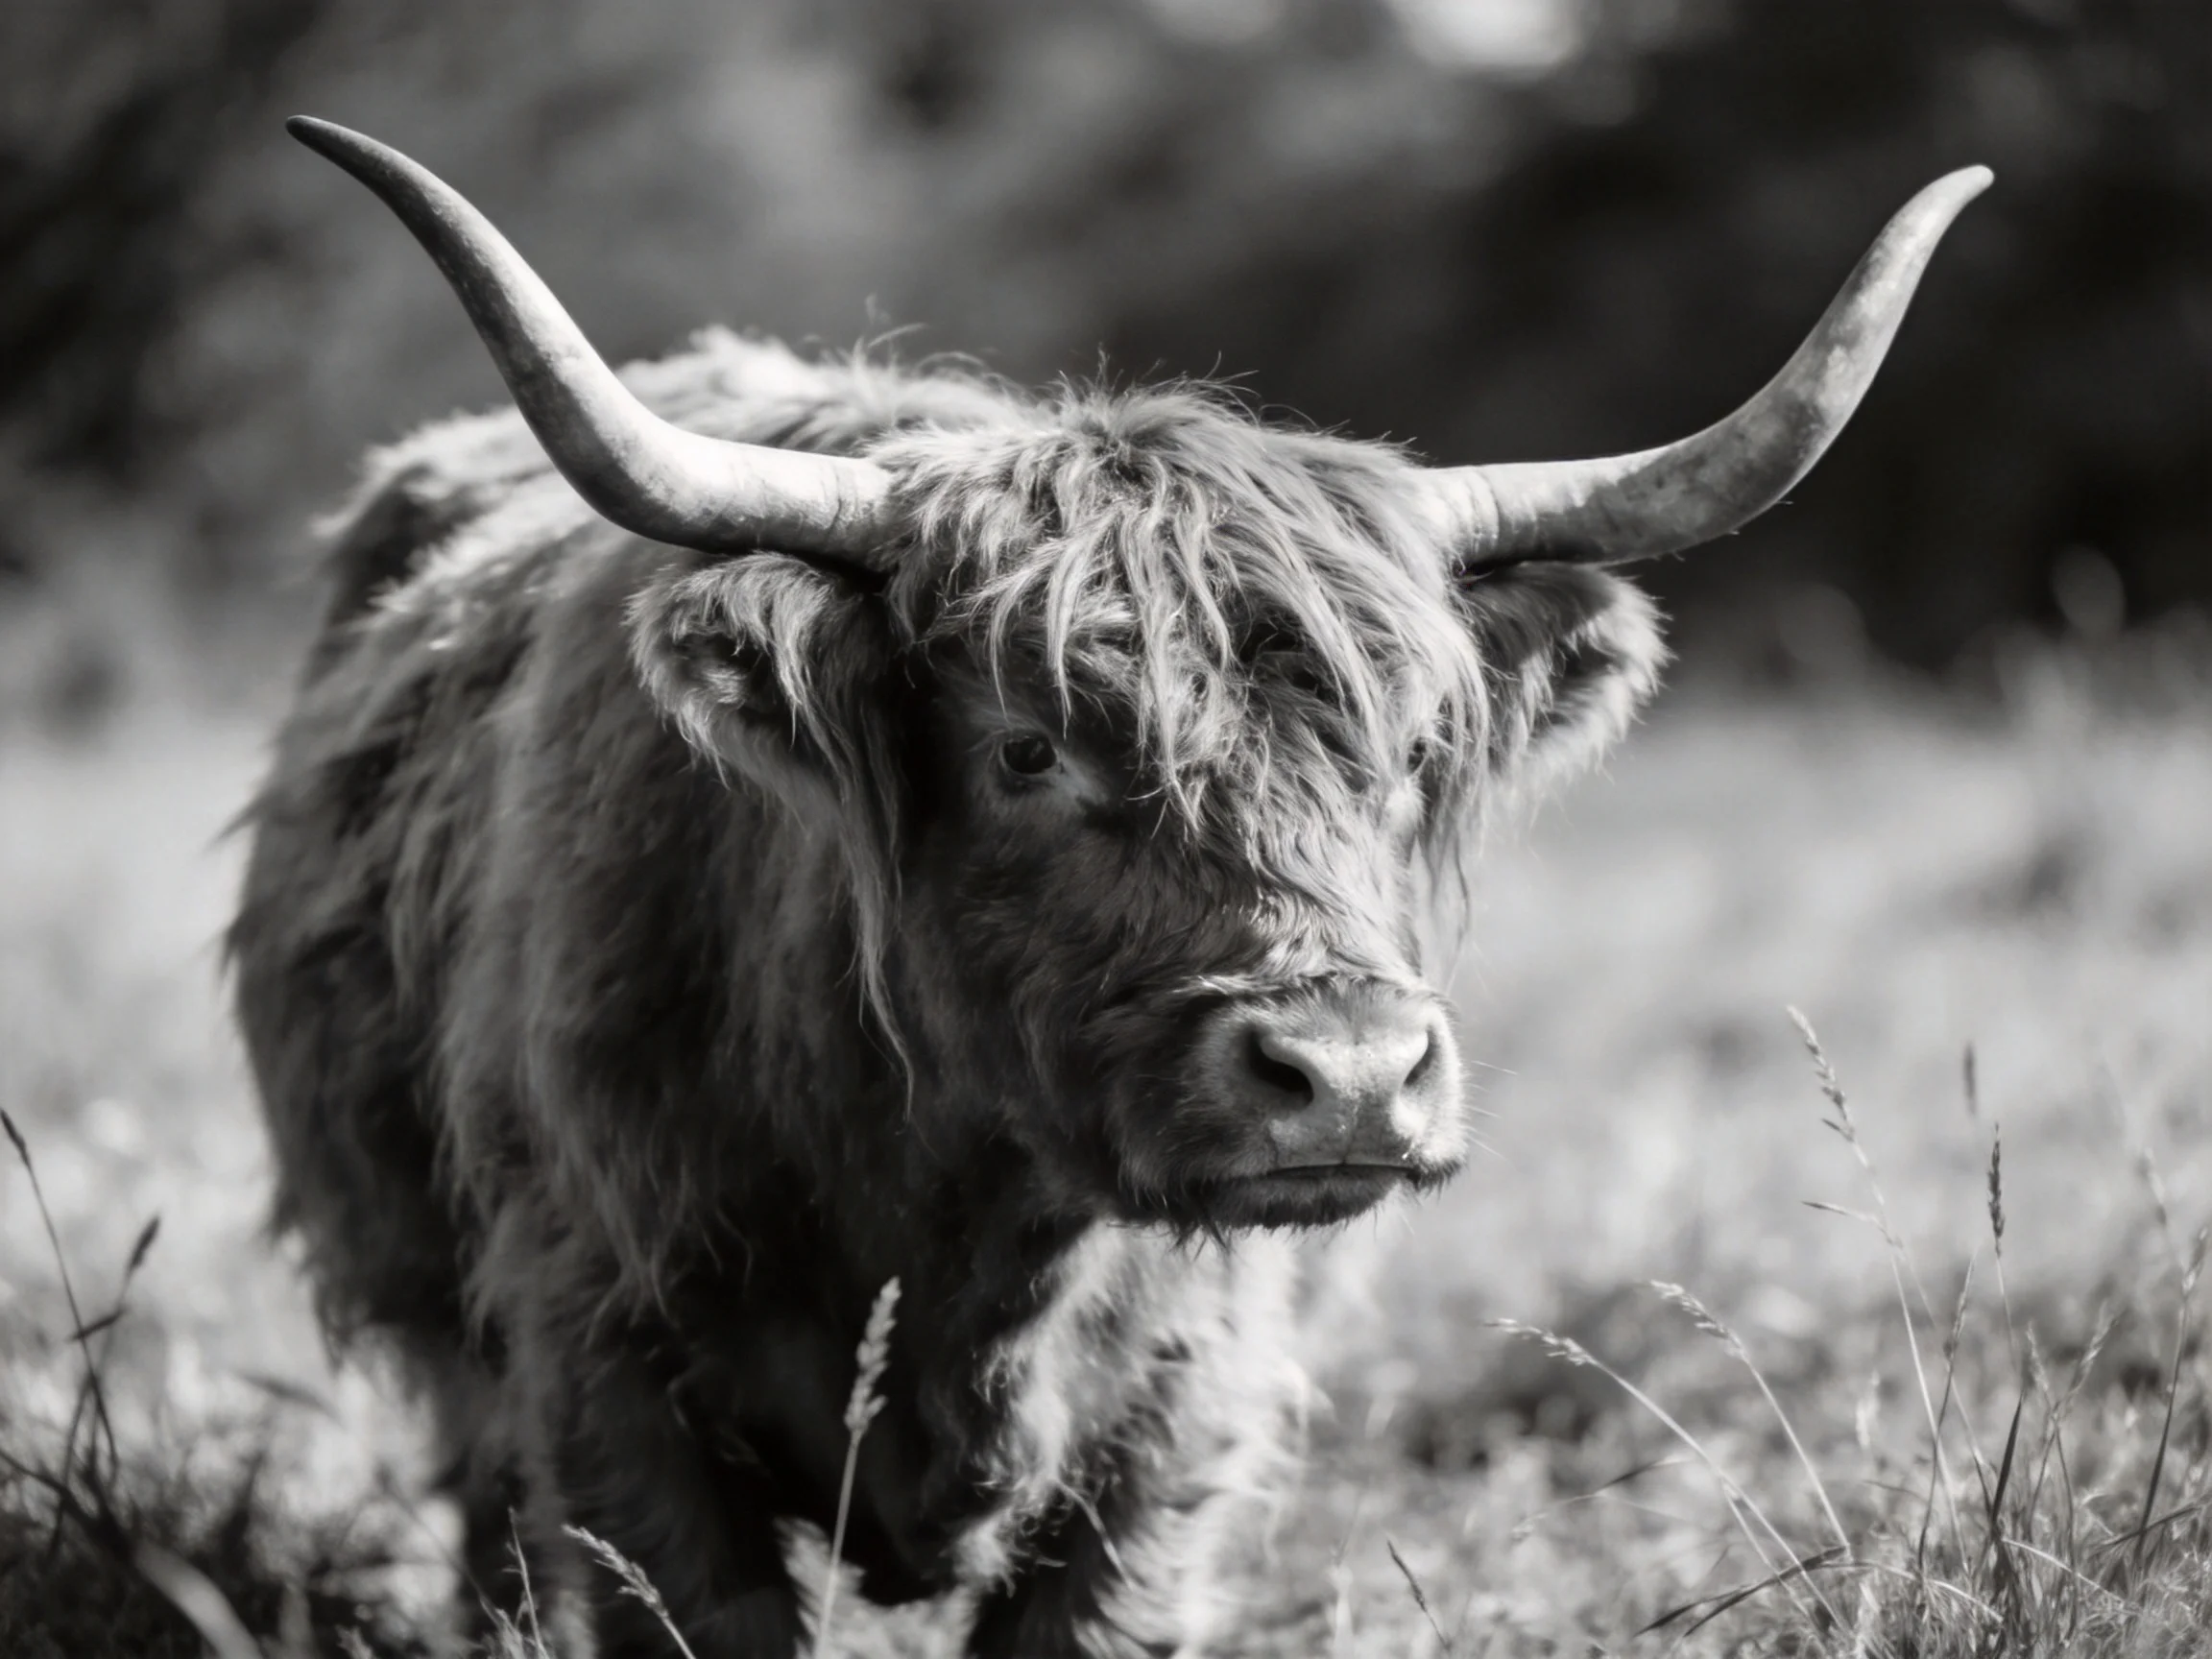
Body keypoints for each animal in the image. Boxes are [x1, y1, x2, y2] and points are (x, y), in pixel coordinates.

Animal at [231, 117, 1985, 1658]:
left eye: (1414, 749)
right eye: (1026, 747)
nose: (1349, 1075)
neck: (955, 1210)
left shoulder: (1173, 1426)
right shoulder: (609, 1375)